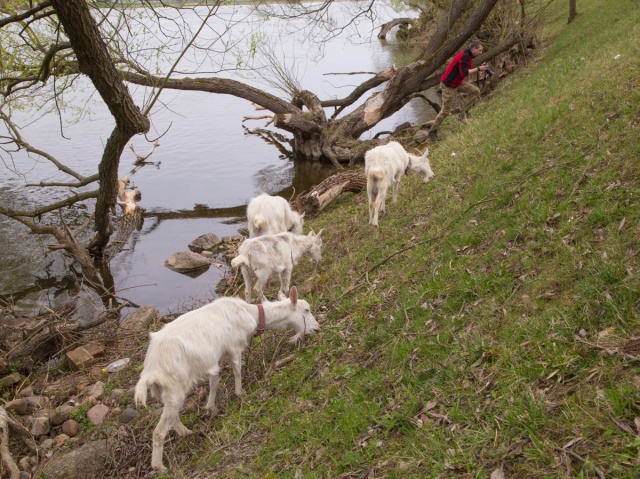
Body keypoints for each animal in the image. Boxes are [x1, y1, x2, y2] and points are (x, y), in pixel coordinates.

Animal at [134, 288, 318, 472]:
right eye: (306, 310)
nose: (317, 328)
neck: (250, 313)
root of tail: (151, 371)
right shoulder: (234, 347)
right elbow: (237, 371)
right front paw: (240, 393)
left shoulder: (217, 358)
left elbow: (214, 383)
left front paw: (210, 407)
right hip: (174, 387)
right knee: (159, 431)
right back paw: (160, 467)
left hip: (165, 393)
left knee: (172, 417)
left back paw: (187, 433)